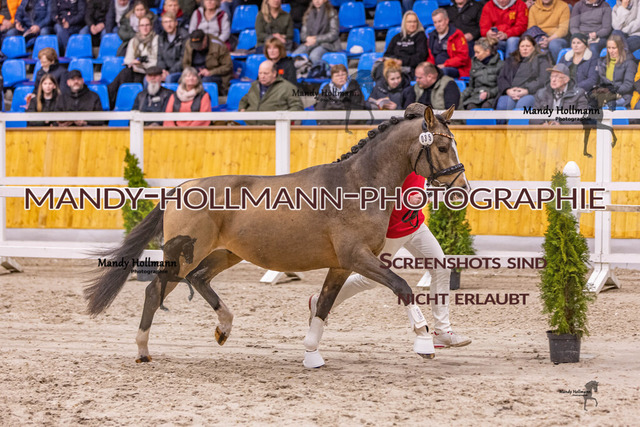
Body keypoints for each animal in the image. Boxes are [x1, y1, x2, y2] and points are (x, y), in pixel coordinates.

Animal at [84, 103, 469, 368]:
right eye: (442, 148)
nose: (462, 188)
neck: (357, 184)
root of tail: (182, 188)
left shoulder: (343, 265)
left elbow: (323, 305)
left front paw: (311, 354)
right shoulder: (357, 257)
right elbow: (403, 288)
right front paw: (424, 343)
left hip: (227, 253)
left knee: (200, 278)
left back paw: (224, 328)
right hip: (185, 256)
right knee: (155, 289)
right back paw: (143, 350)